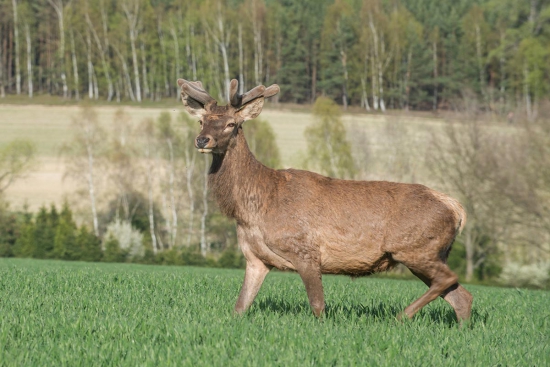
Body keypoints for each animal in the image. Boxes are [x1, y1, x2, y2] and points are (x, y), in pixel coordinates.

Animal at [177, 77, 474, 322]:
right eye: (201, 121)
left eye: (232, 124)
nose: (202, 140)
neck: (254, 206)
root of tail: (456, 208)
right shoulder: (255, 259)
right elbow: (240, 307)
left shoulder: (306, 250)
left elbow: (318, 306)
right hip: (428, 252)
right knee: (461, 296)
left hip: (417, 248)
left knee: (450, 279)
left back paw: (401, 316)